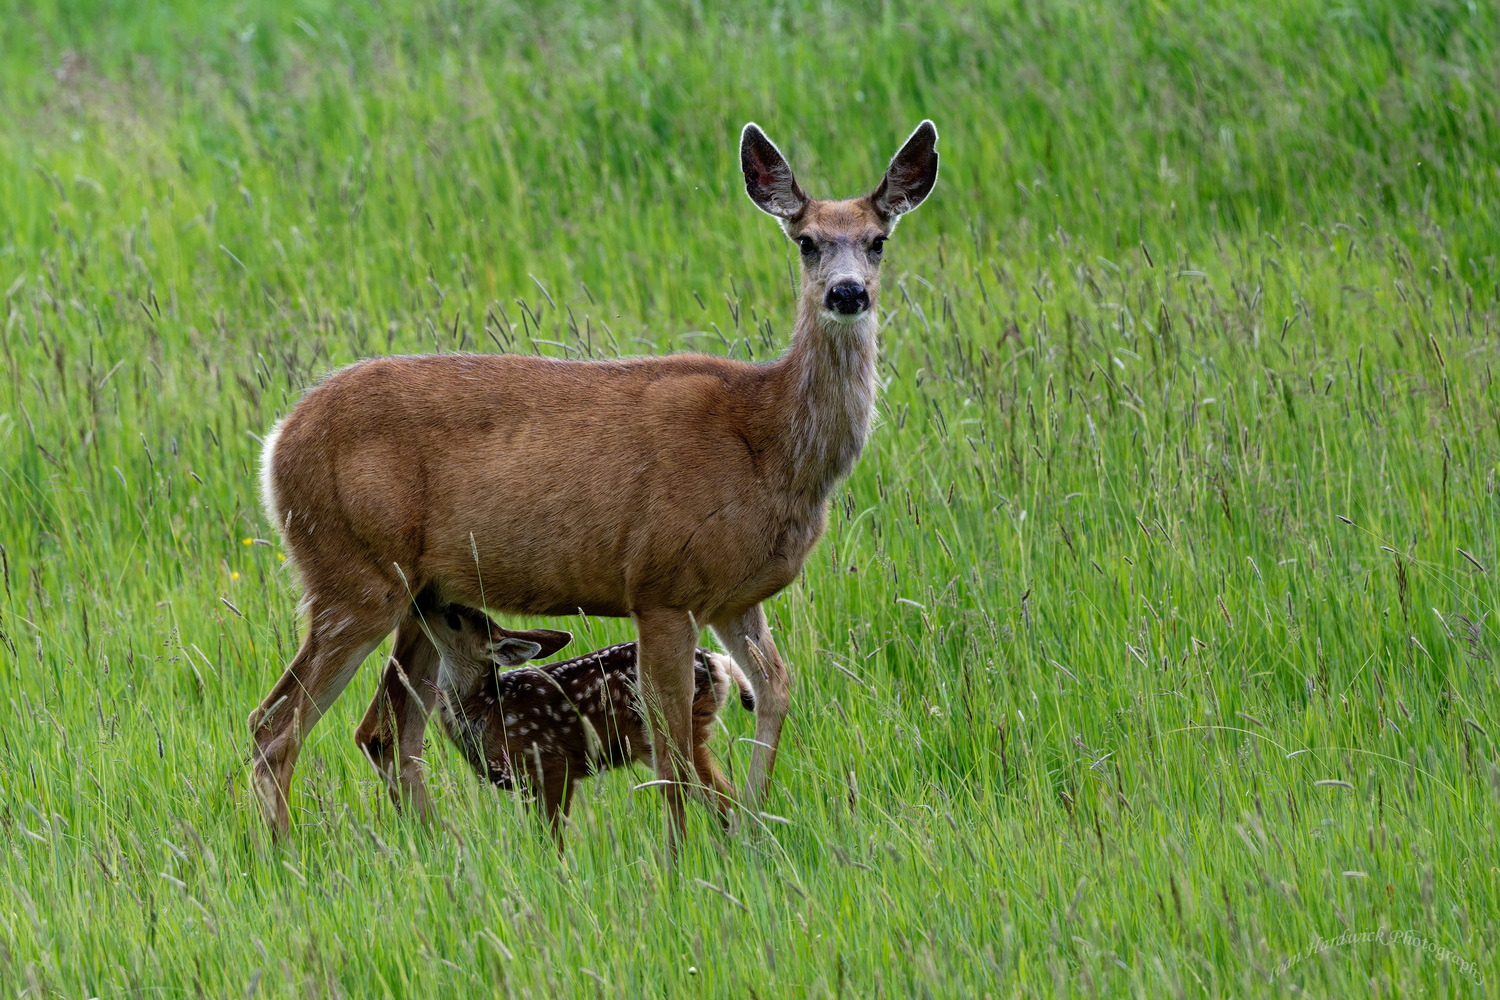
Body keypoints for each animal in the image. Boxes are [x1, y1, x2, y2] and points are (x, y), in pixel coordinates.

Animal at [422, 602, 754, 847]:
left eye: (453, 619)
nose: (422, 601)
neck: (488, 709)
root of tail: (720, 662)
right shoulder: (526, 786)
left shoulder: (553, 766)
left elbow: (552, 840)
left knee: (730, 800)